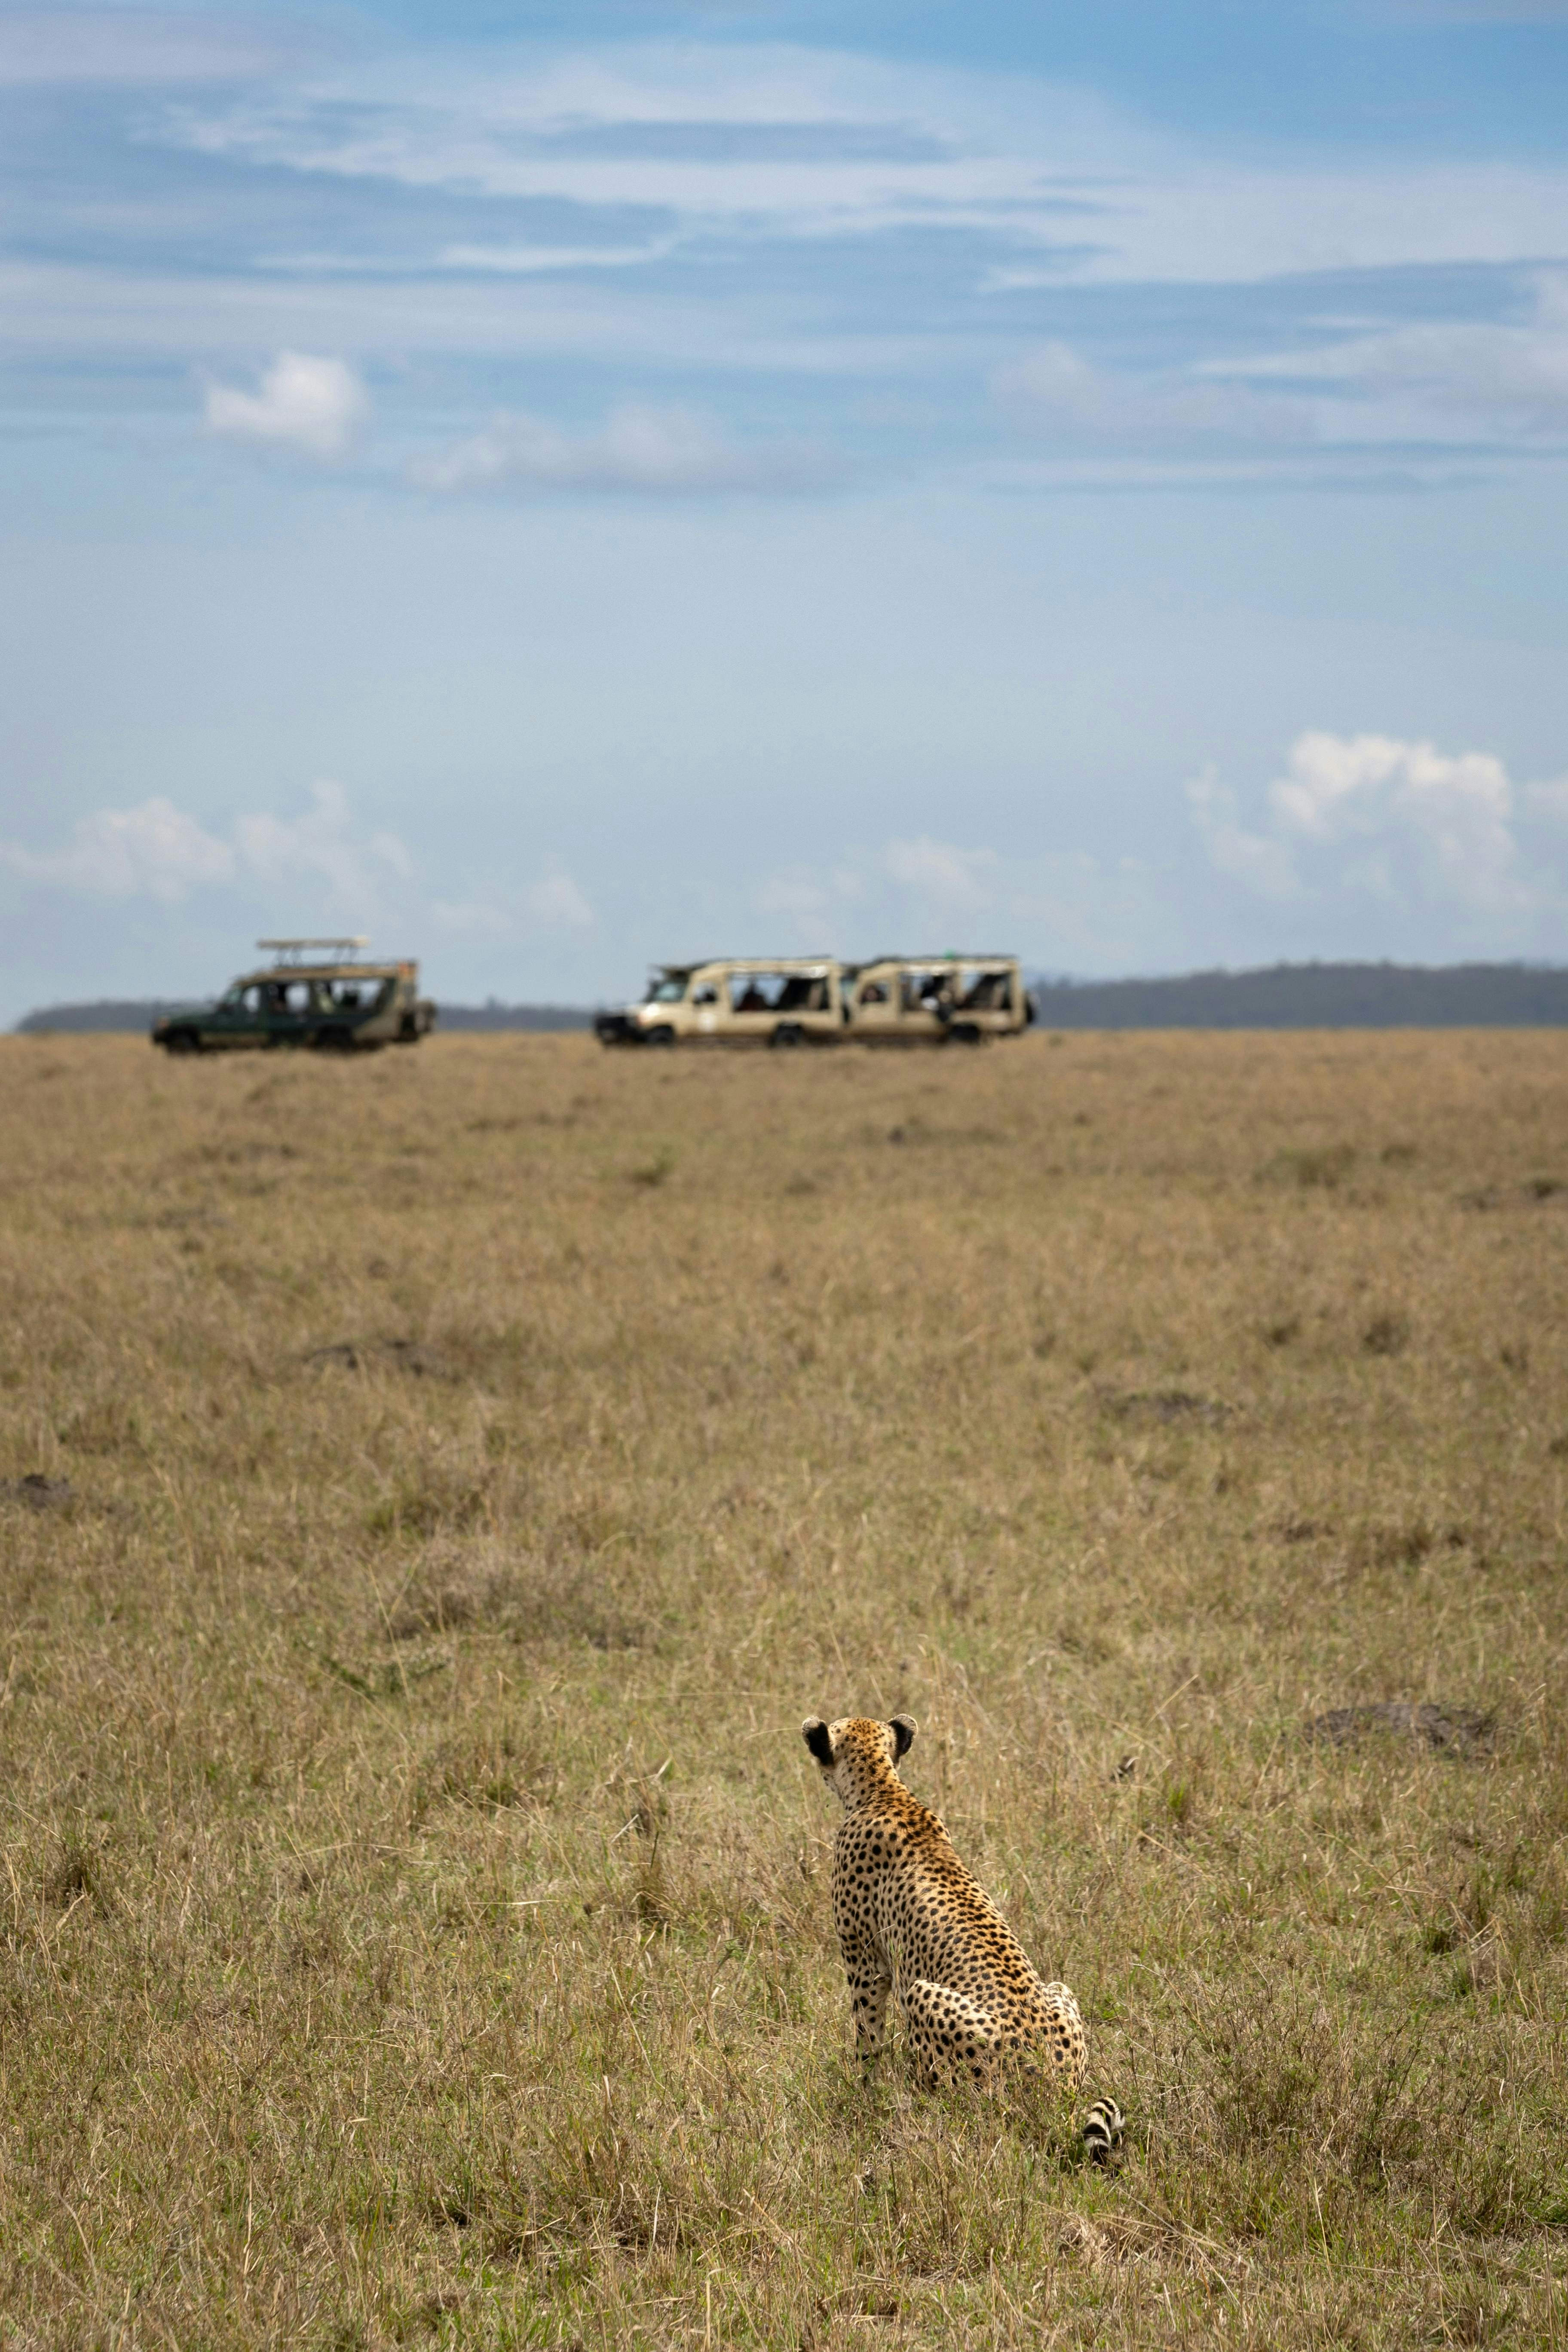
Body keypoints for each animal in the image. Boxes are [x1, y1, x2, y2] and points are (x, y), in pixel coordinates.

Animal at [802, 1711, 1122, 2160]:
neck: (883, 1790)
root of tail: (1055, 2092)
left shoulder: (865, 1962)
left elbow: (867, 2036)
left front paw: (865, 2093)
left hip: (922, 1995)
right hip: (1059, 1989)